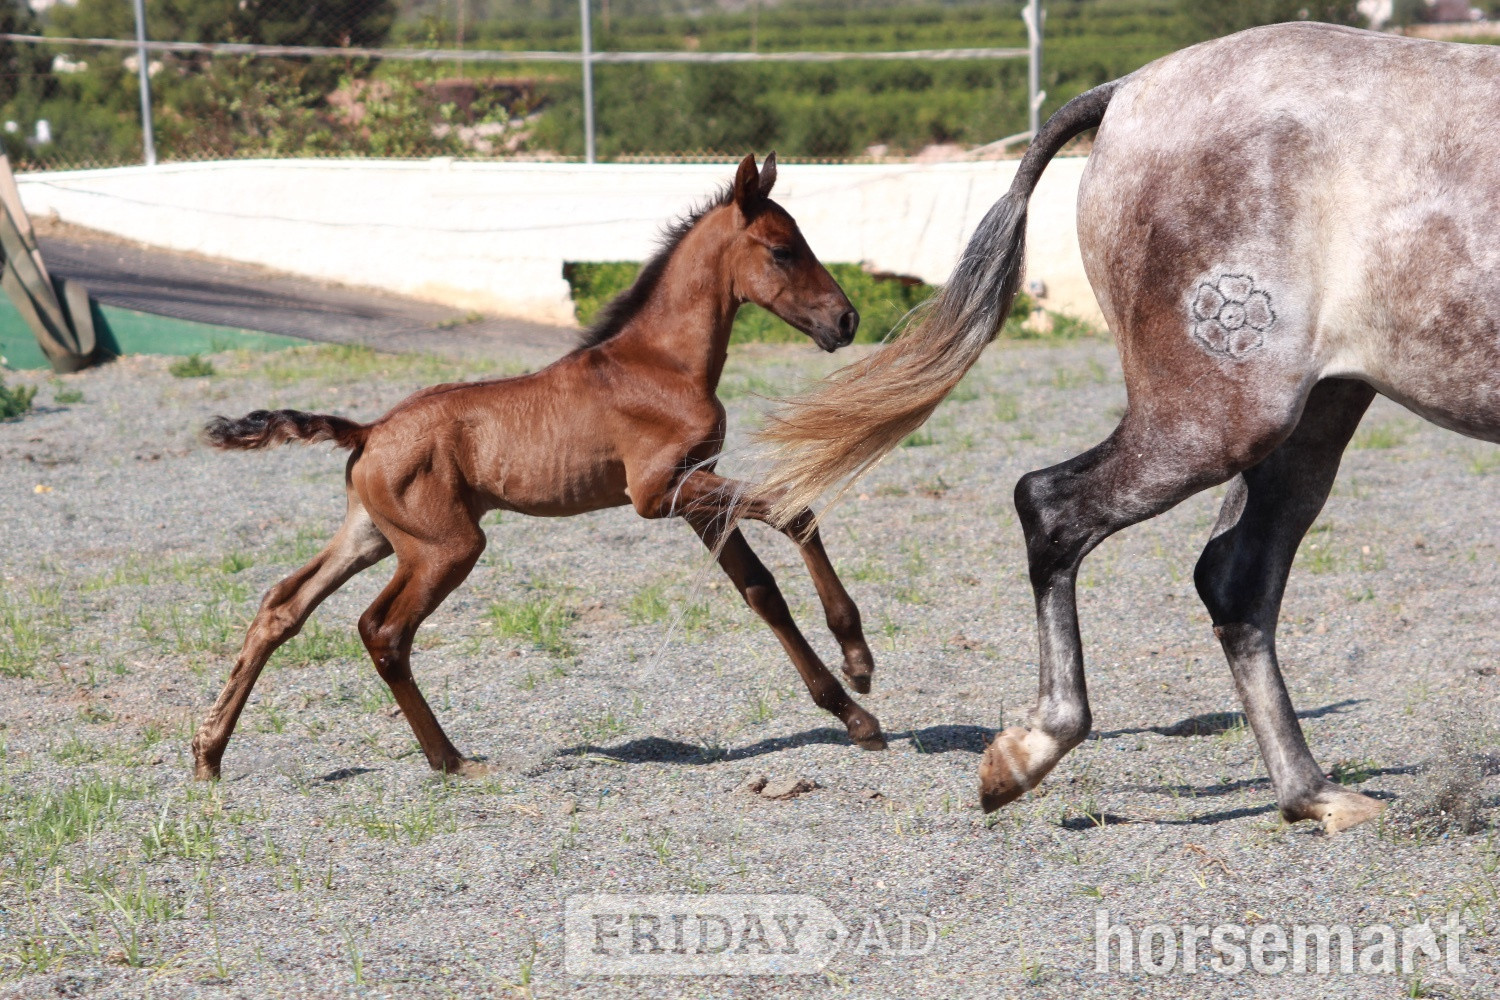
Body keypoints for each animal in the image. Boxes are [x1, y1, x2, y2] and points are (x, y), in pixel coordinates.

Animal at [190, 153, 887, 781]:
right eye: (783, 250)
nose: (846, 320)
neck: (660, 363)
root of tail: (367, 432)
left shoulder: (693, 493)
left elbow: (761, 590)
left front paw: (853, 714)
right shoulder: (658, 491)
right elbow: (795, 511)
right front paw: (858, 662)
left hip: (372, 536)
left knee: (283, 606)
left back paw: (208, 754)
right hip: (445, 545)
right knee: (382, 630)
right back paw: (450, 759)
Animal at [752, 23, 1500, 833]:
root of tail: (1130, 91)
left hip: (1316, 410)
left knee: (1234, 578)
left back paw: (1314, 795)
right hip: (1222, 416)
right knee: (1055, 507)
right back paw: (1031, 749)